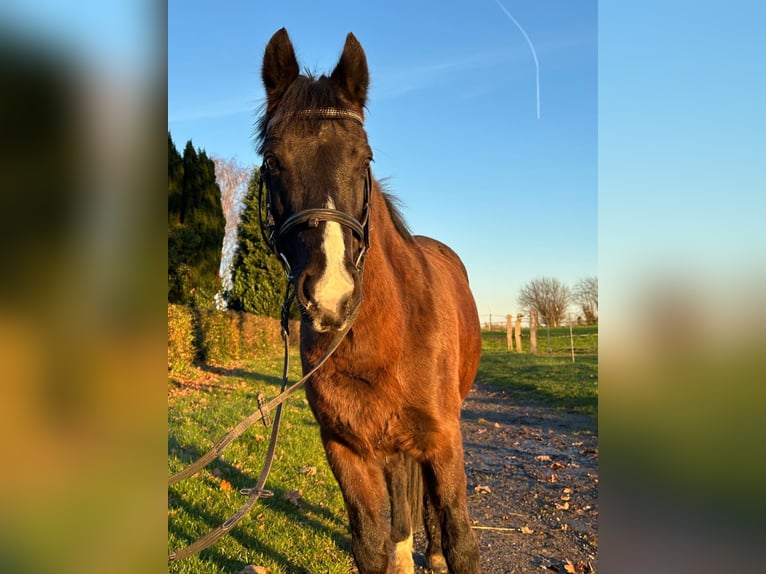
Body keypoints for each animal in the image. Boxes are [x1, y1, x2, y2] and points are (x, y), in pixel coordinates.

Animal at [260, 28, 484, 574]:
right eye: (273, 161)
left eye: (365, 159)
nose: (332, 296)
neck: (387, 339)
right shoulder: (345, 448)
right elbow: (370, 543)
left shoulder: (444, 441)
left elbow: (461, 537)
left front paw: (445, 552)